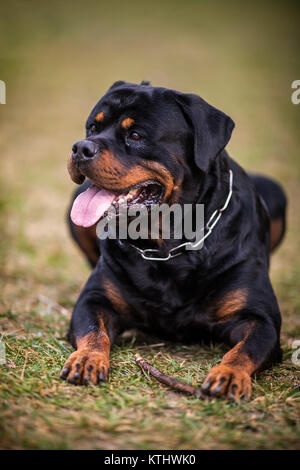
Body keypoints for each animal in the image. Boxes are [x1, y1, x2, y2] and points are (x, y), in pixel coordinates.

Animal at [60, 81, 286, 400]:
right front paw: (86, 358)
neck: (167, 246)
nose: (81, 147)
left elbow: (246, 349)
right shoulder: (94, 300)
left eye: (136, 135)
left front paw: (229, 374)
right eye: (93, 127)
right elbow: (94, 331)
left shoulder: (260, 319)